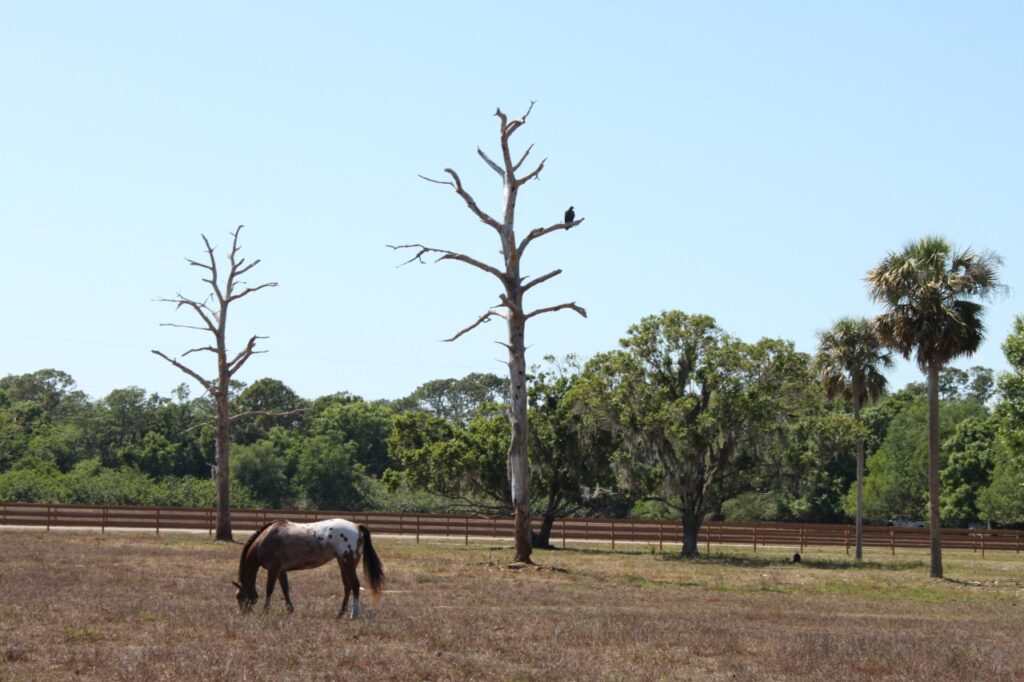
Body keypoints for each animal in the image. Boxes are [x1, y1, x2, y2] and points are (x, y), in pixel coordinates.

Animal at [232, 516, 385, 614]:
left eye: (239, 597)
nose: (244, 614)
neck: (265, 539)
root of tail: (356, 526)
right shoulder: (281, 571)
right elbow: (285, 589)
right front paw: (290, 610)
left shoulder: (273, 569)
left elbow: (269, 589)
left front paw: (265, 611)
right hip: (343, 564)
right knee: (347, 586)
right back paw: (341, 613)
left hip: (348, 564)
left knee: (355, 586)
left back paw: (354, 614)